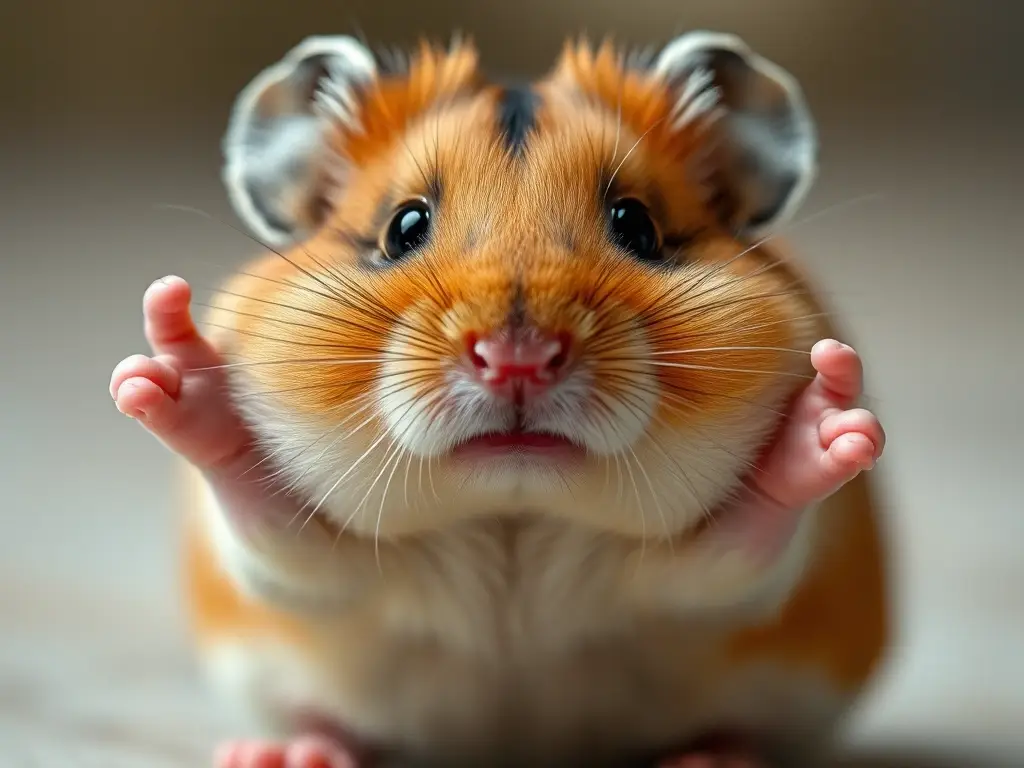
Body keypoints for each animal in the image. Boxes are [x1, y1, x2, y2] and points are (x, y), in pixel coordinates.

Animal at [110, 32, 890, 768]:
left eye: (636, 224)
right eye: (404, 226)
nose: (519, 359)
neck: (511, 518)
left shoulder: (720, 578)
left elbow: (752, 536)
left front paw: (835, 411)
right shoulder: (302, 564)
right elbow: (264, 518)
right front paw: (160, 359)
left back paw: (714, 759)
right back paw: (285, 754)